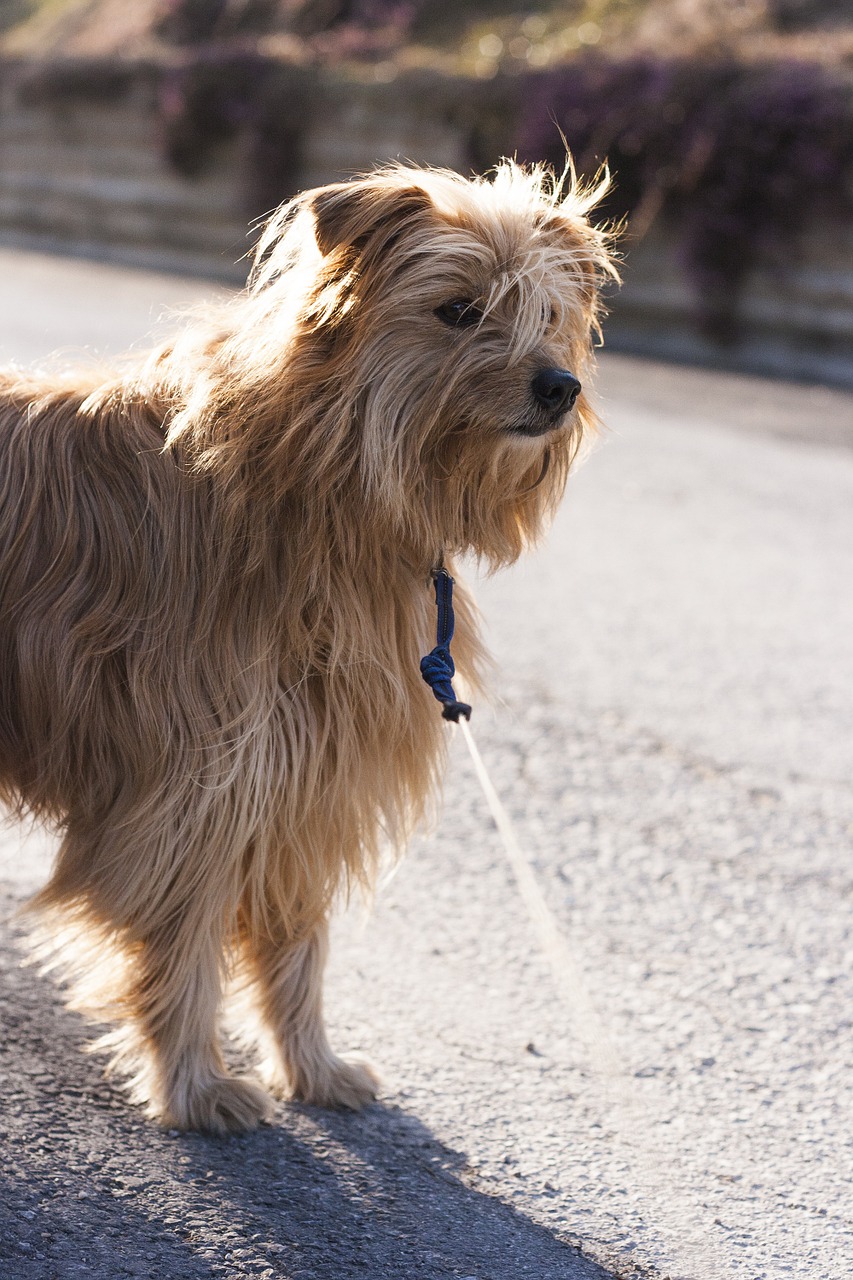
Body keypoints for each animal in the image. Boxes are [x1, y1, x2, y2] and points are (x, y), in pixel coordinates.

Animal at [0, 160, 612, 1131]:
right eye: (458, 309)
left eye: (548, 314)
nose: (560, 388)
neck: (329, 487)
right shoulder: (197, 785)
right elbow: (182, 941)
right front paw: (194, 1085)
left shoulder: (311, 774)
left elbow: (297, 944)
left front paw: (313, 1068)